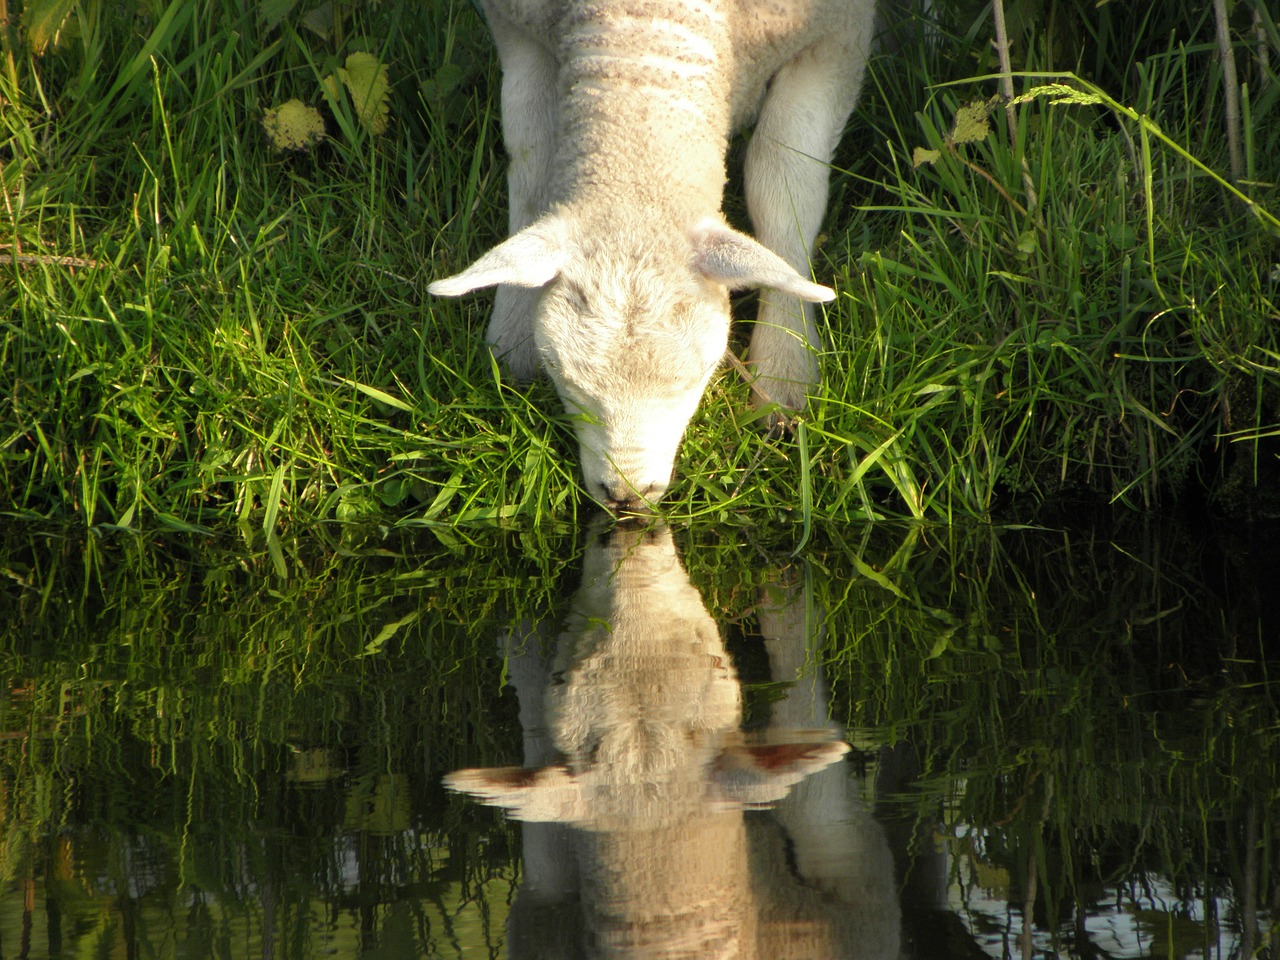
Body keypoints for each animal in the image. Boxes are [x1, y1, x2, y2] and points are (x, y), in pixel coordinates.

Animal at [435, 0, 875, 514]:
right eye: (560, 374)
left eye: (700, 375)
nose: (626, 495)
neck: (638, 37)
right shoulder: (518, 31)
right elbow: (531, 168)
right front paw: (511, 340)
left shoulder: (834, 35)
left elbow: (783, 182)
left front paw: (786, 369)